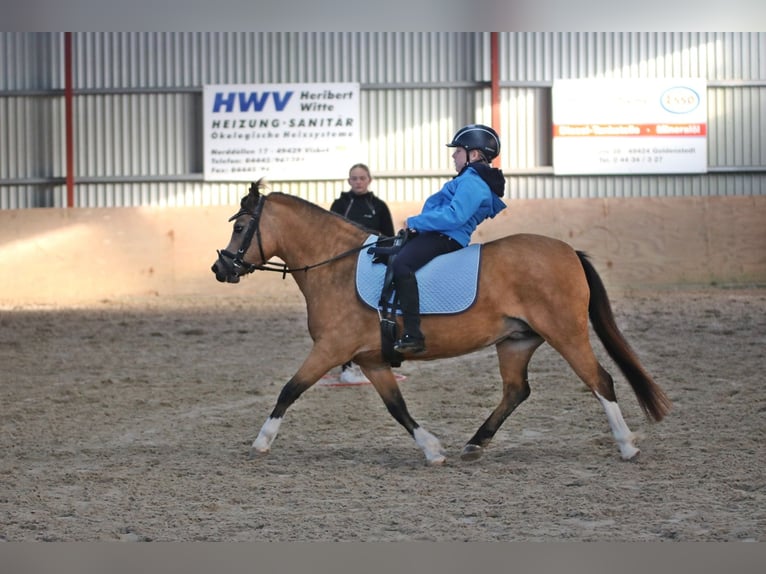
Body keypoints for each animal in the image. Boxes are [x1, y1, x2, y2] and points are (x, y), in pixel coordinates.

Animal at [212, 181, 672, 468]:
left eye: (241, 226)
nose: (220, 268)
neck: (336, 267)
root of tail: (569, 251)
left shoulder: (331, 349)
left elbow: (290, 389)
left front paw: (260, 442)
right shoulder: (371, 360)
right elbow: (397, 408)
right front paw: (432, 450)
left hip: (566, 333)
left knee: (600, 380)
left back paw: (627, 446)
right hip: (517, 341)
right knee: (516, 391)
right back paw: (474, 445)